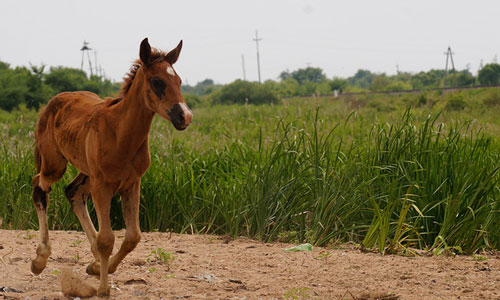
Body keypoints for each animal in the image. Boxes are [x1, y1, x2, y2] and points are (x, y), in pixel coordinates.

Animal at [30, 37, 191, 296]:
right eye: (157, 81)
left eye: (179, 81)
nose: (184, 116)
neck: (120, 134)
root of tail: (53, 102)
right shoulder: (103, 185)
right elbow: (107, 239)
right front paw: (104, 288)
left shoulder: (132, 184)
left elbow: (132, 237)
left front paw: (97, 270)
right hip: (56, 165)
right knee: (39, 185)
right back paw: (40, 260)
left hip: (86, 174)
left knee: (72, 192)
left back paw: (94, 260)